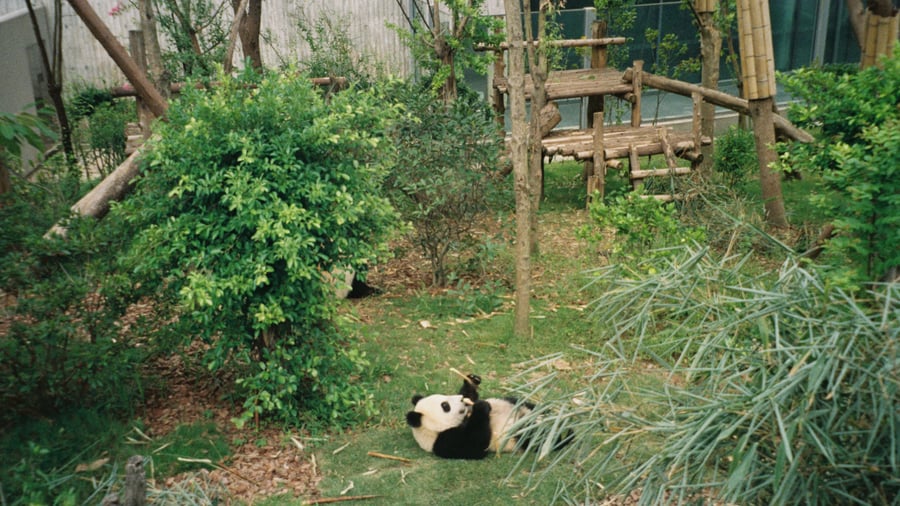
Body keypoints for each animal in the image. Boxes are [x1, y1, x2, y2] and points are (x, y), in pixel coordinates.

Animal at [405, 373, 569, 460]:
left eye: (444, 397)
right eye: (445, 406)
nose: (461, 399)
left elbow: (471, 396)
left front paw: (471, 381)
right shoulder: (444, 442)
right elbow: (475, 444)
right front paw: (482, 407)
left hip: (519, 403)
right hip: (519, 436)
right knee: (536, 438)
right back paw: (561, 434)